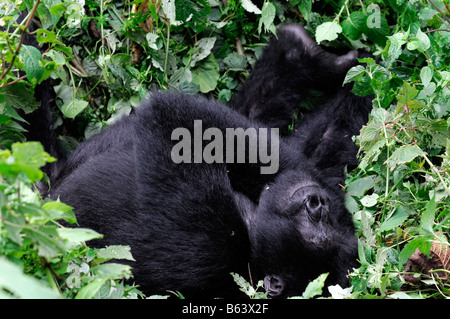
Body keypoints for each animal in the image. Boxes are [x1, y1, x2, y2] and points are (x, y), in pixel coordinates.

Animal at [21, 21, 372, 298]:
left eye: (317, 226)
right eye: (324, 218)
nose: (316, 203)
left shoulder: (212, 246)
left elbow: (180, 122)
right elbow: (327, 139)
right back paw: (300, 53)